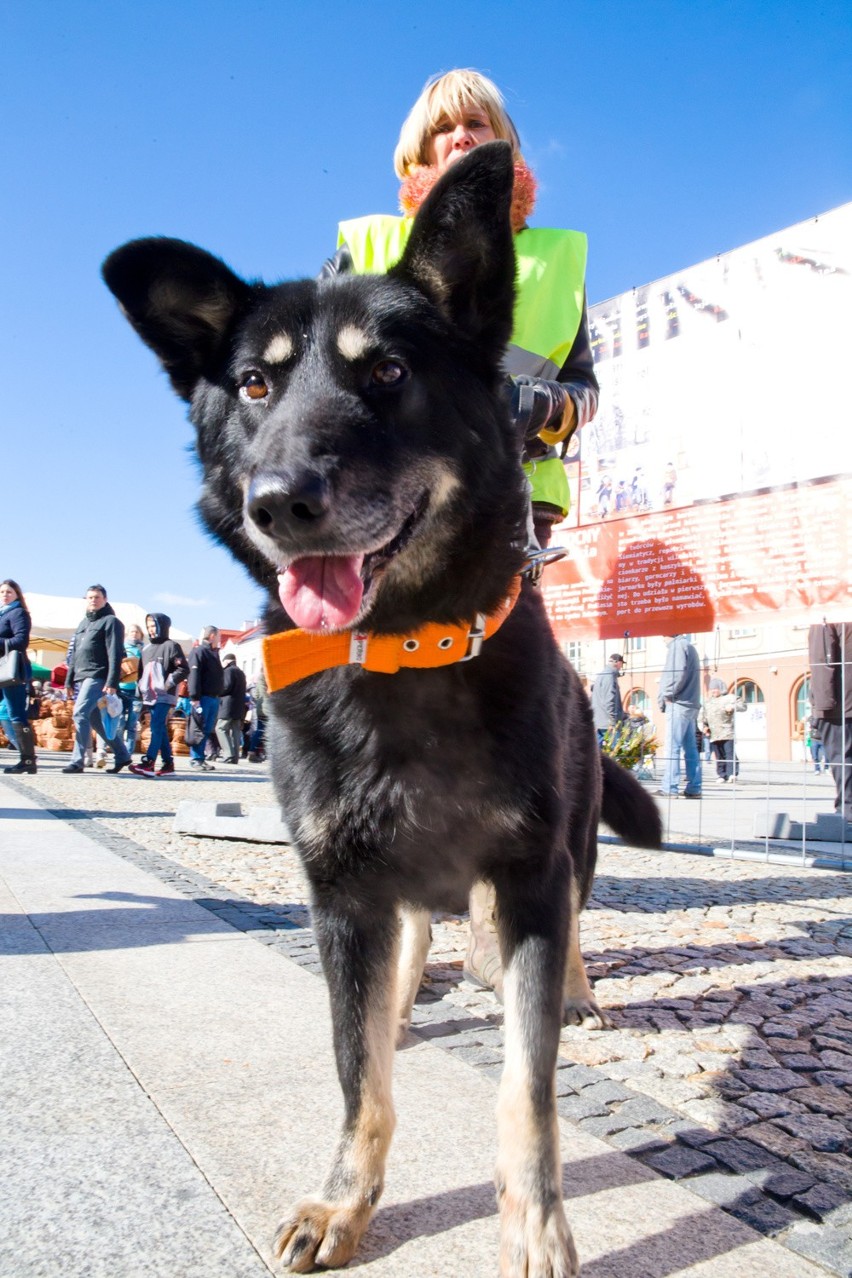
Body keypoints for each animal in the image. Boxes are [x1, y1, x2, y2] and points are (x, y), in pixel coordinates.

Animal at [104, 145, 659, 1278]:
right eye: (256, 383)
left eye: (389, 374)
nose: (279, 501)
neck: (406, 651)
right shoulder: (344, 893)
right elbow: (357, 1077)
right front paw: (344, 1201)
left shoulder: (529, 877)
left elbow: (526, 1089)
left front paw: (536, 1224)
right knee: (400, 968)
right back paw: (402, 1007)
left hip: (572, 847)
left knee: (564, 932)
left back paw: (573, 992)